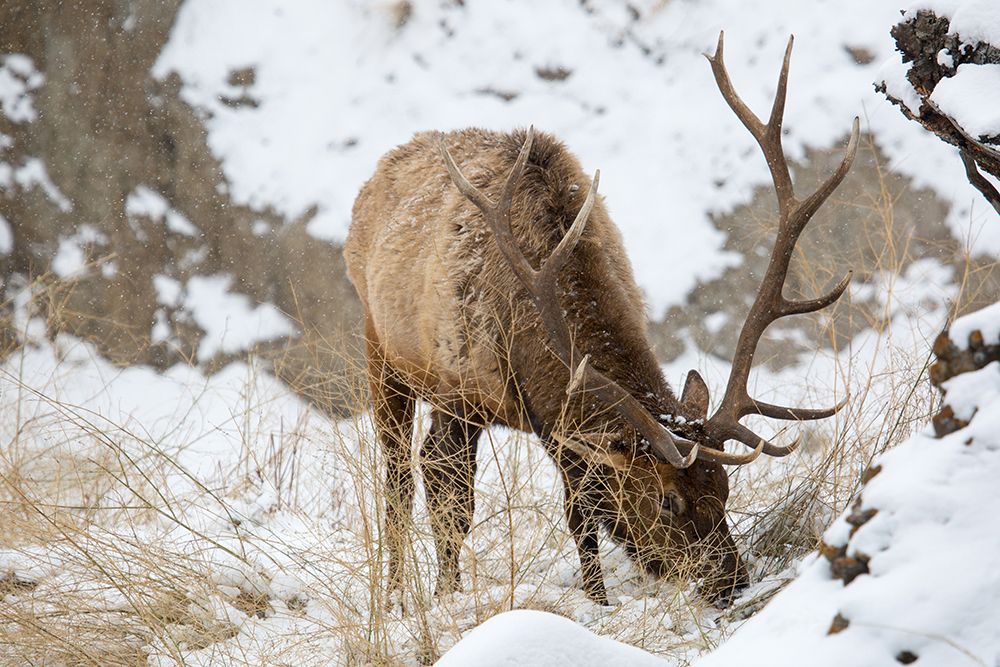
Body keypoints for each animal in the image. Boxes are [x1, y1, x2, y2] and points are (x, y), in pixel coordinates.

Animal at [344, 33, 857, 606]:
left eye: (724, 489)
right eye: (667, 501)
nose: (730, 584)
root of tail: (377, 174)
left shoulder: (562, 427)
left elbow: (580, 512)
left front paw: (596, 597)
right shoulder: (463, 395)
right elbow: (461, 504)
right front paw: (453, 598)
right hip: (381, 348)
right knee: (399, 478)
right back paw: (396, 592)